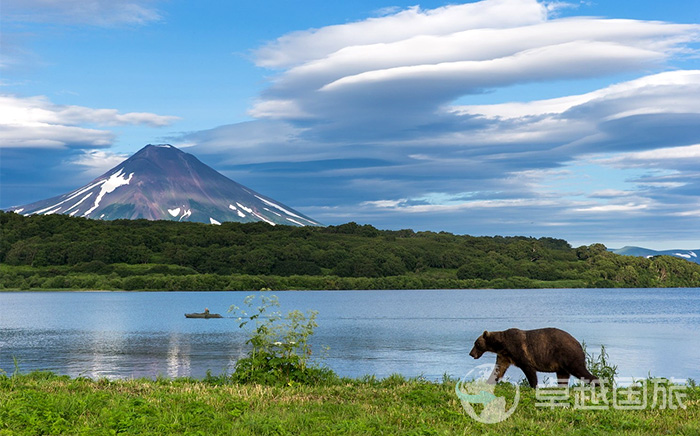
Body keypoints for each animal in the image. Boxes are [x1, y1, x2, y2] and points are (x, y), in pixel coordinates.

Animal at [468, 328, 600, 386]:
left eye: (476, 343)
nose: (471, 353)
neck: (501, 344)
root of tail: (579, 344)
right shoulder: (504, 356)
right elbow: (498, 370)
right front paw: (488, 382)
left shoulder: (519, 351)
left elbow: (529, 370)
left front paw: (533, 386)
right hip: (561, 365)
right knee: (563, 378)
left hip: (568, 356)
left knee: (580, 371)